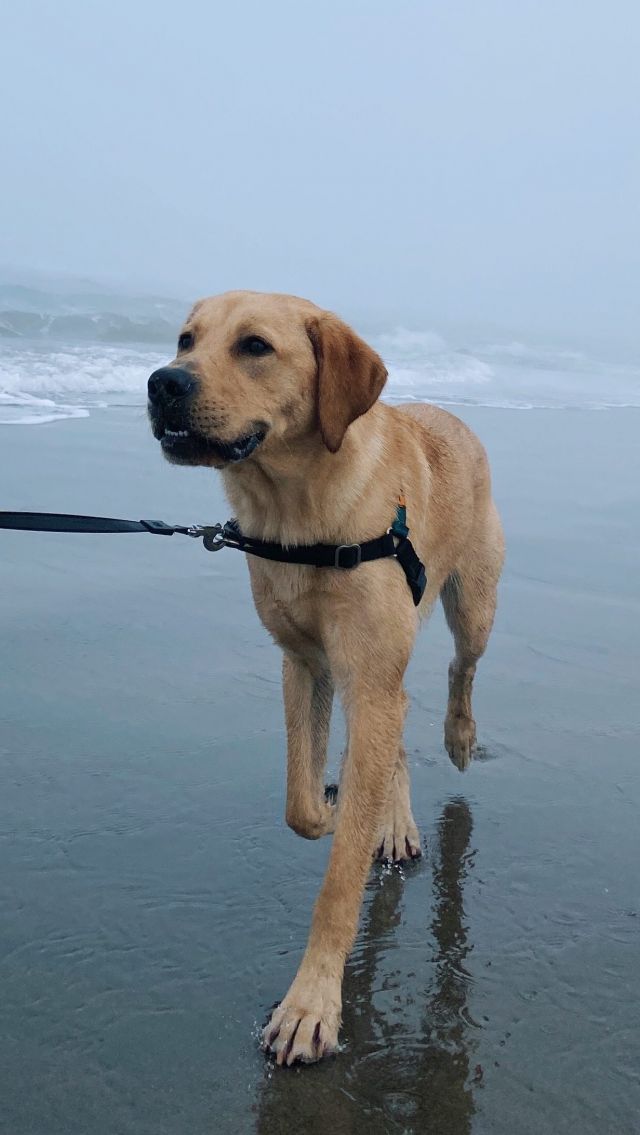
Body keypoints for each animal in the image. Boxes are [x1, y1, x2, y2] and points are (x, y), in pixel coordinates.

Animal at [147, 290, 501, 1062]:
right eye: (185, 340)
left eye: (255, 346)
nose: (162, 383)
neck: (298, 510)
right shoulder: (307, 665)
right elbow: (301, 804)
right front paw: (344, 812)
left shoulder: (365, 674)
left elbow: (339, 882)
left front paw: (311, 1006)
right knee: (399, 720)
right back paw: (391, 818)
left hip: (475, 604)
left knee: (460, 670)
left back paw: (459, 737)